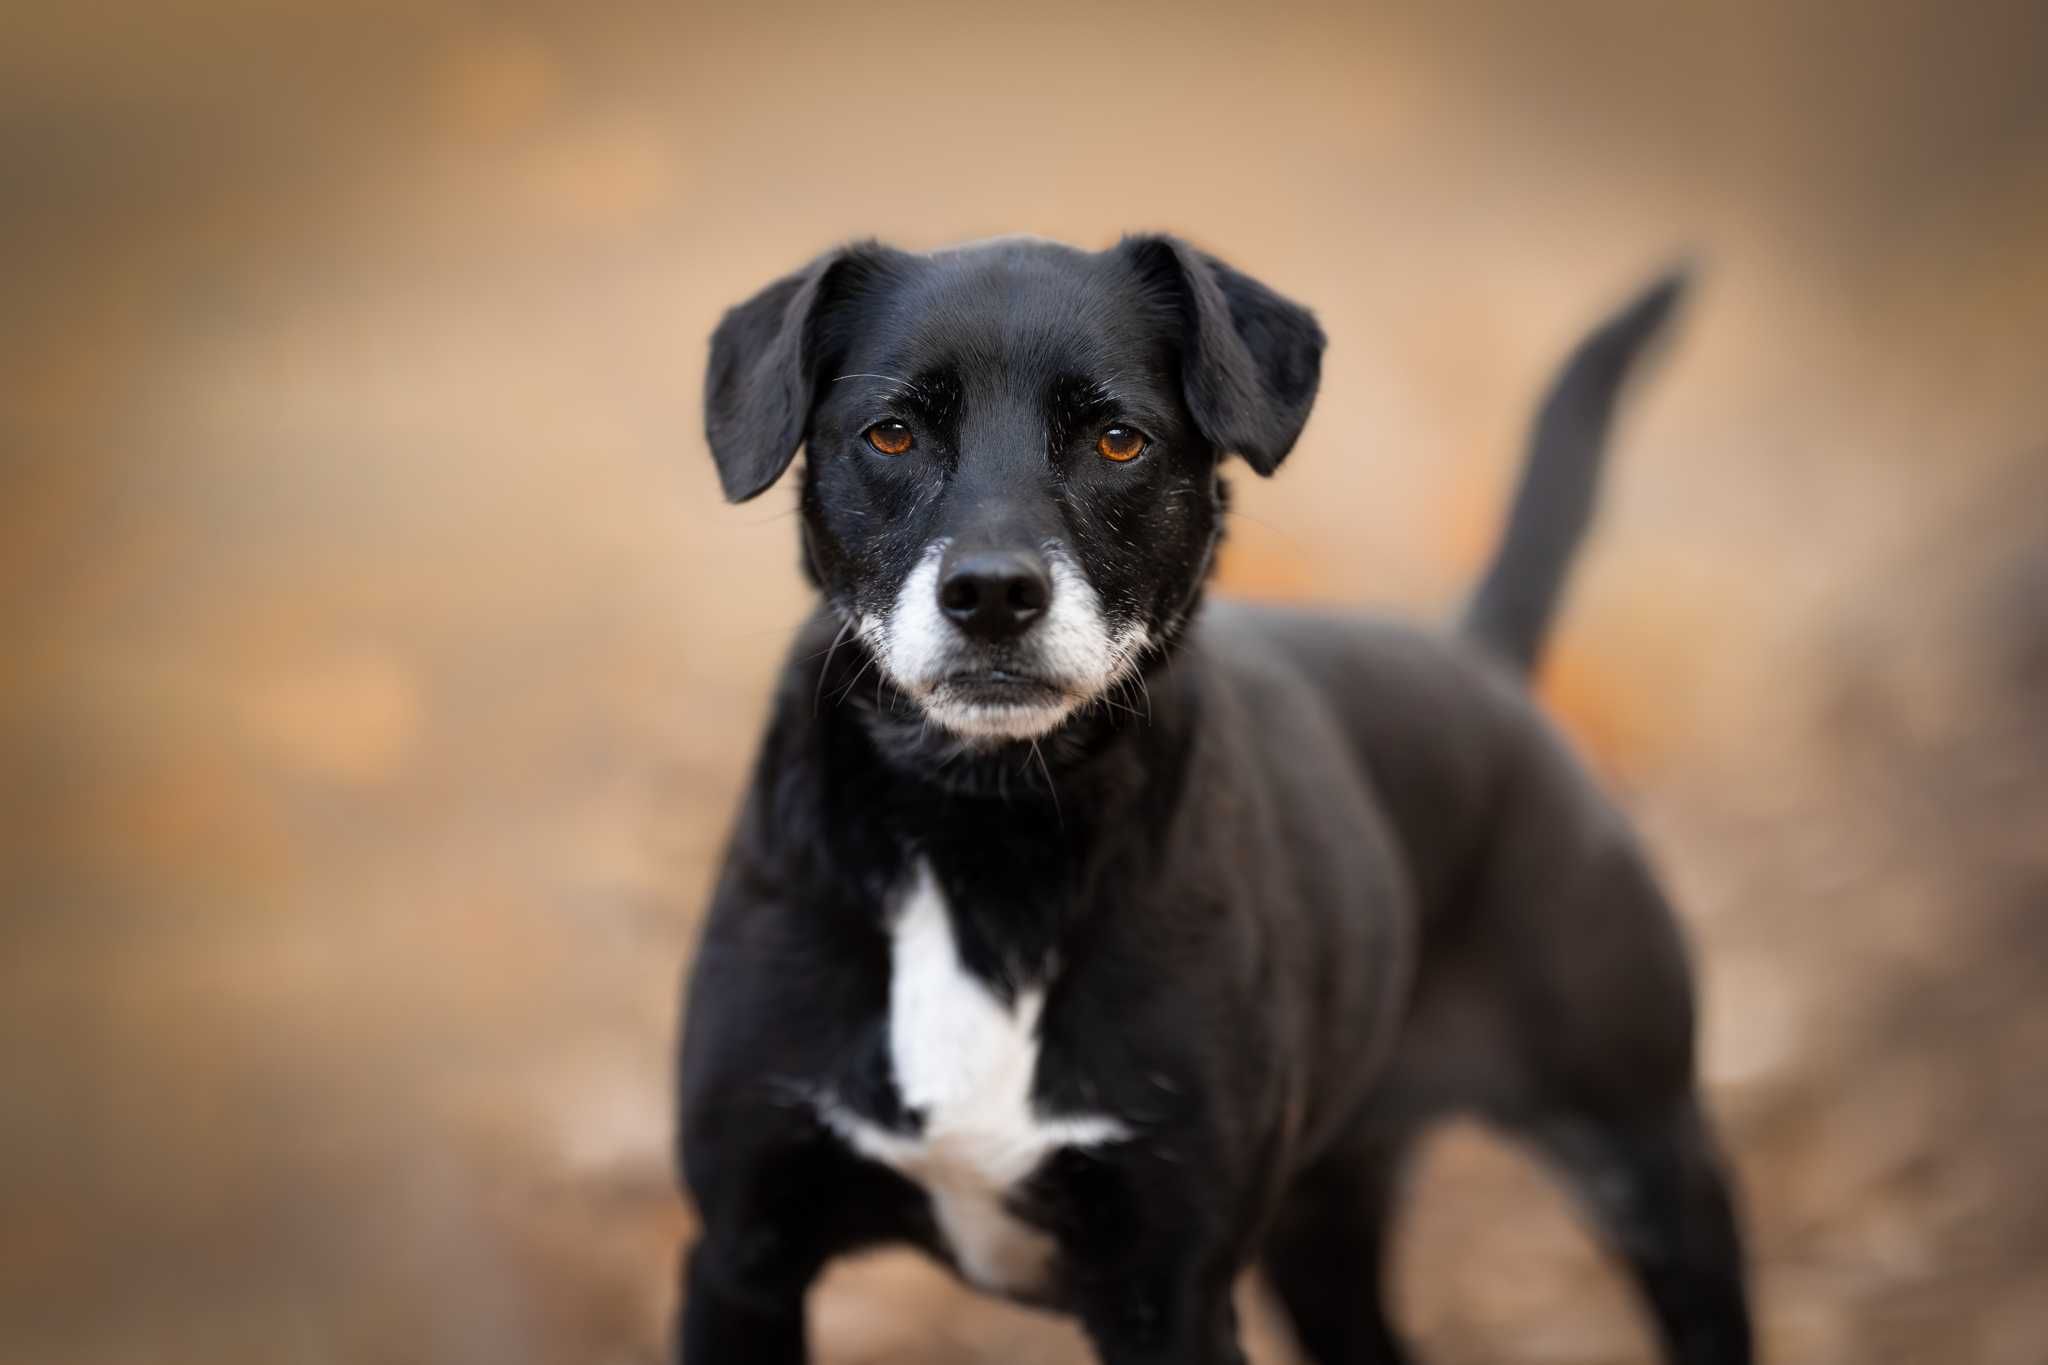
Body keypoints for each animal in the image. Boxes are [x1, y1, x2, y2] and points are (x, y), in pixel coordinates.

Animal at [679, 237, 1753, 1365]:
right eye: (890, 432)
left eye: (1118, 440)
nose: (993, 595)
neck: (982, 828)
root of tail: (1481, 659)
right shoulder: (740, 1255)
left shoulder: (1174, 1287)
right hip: (1324, 1223)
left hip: (1648, 1153)